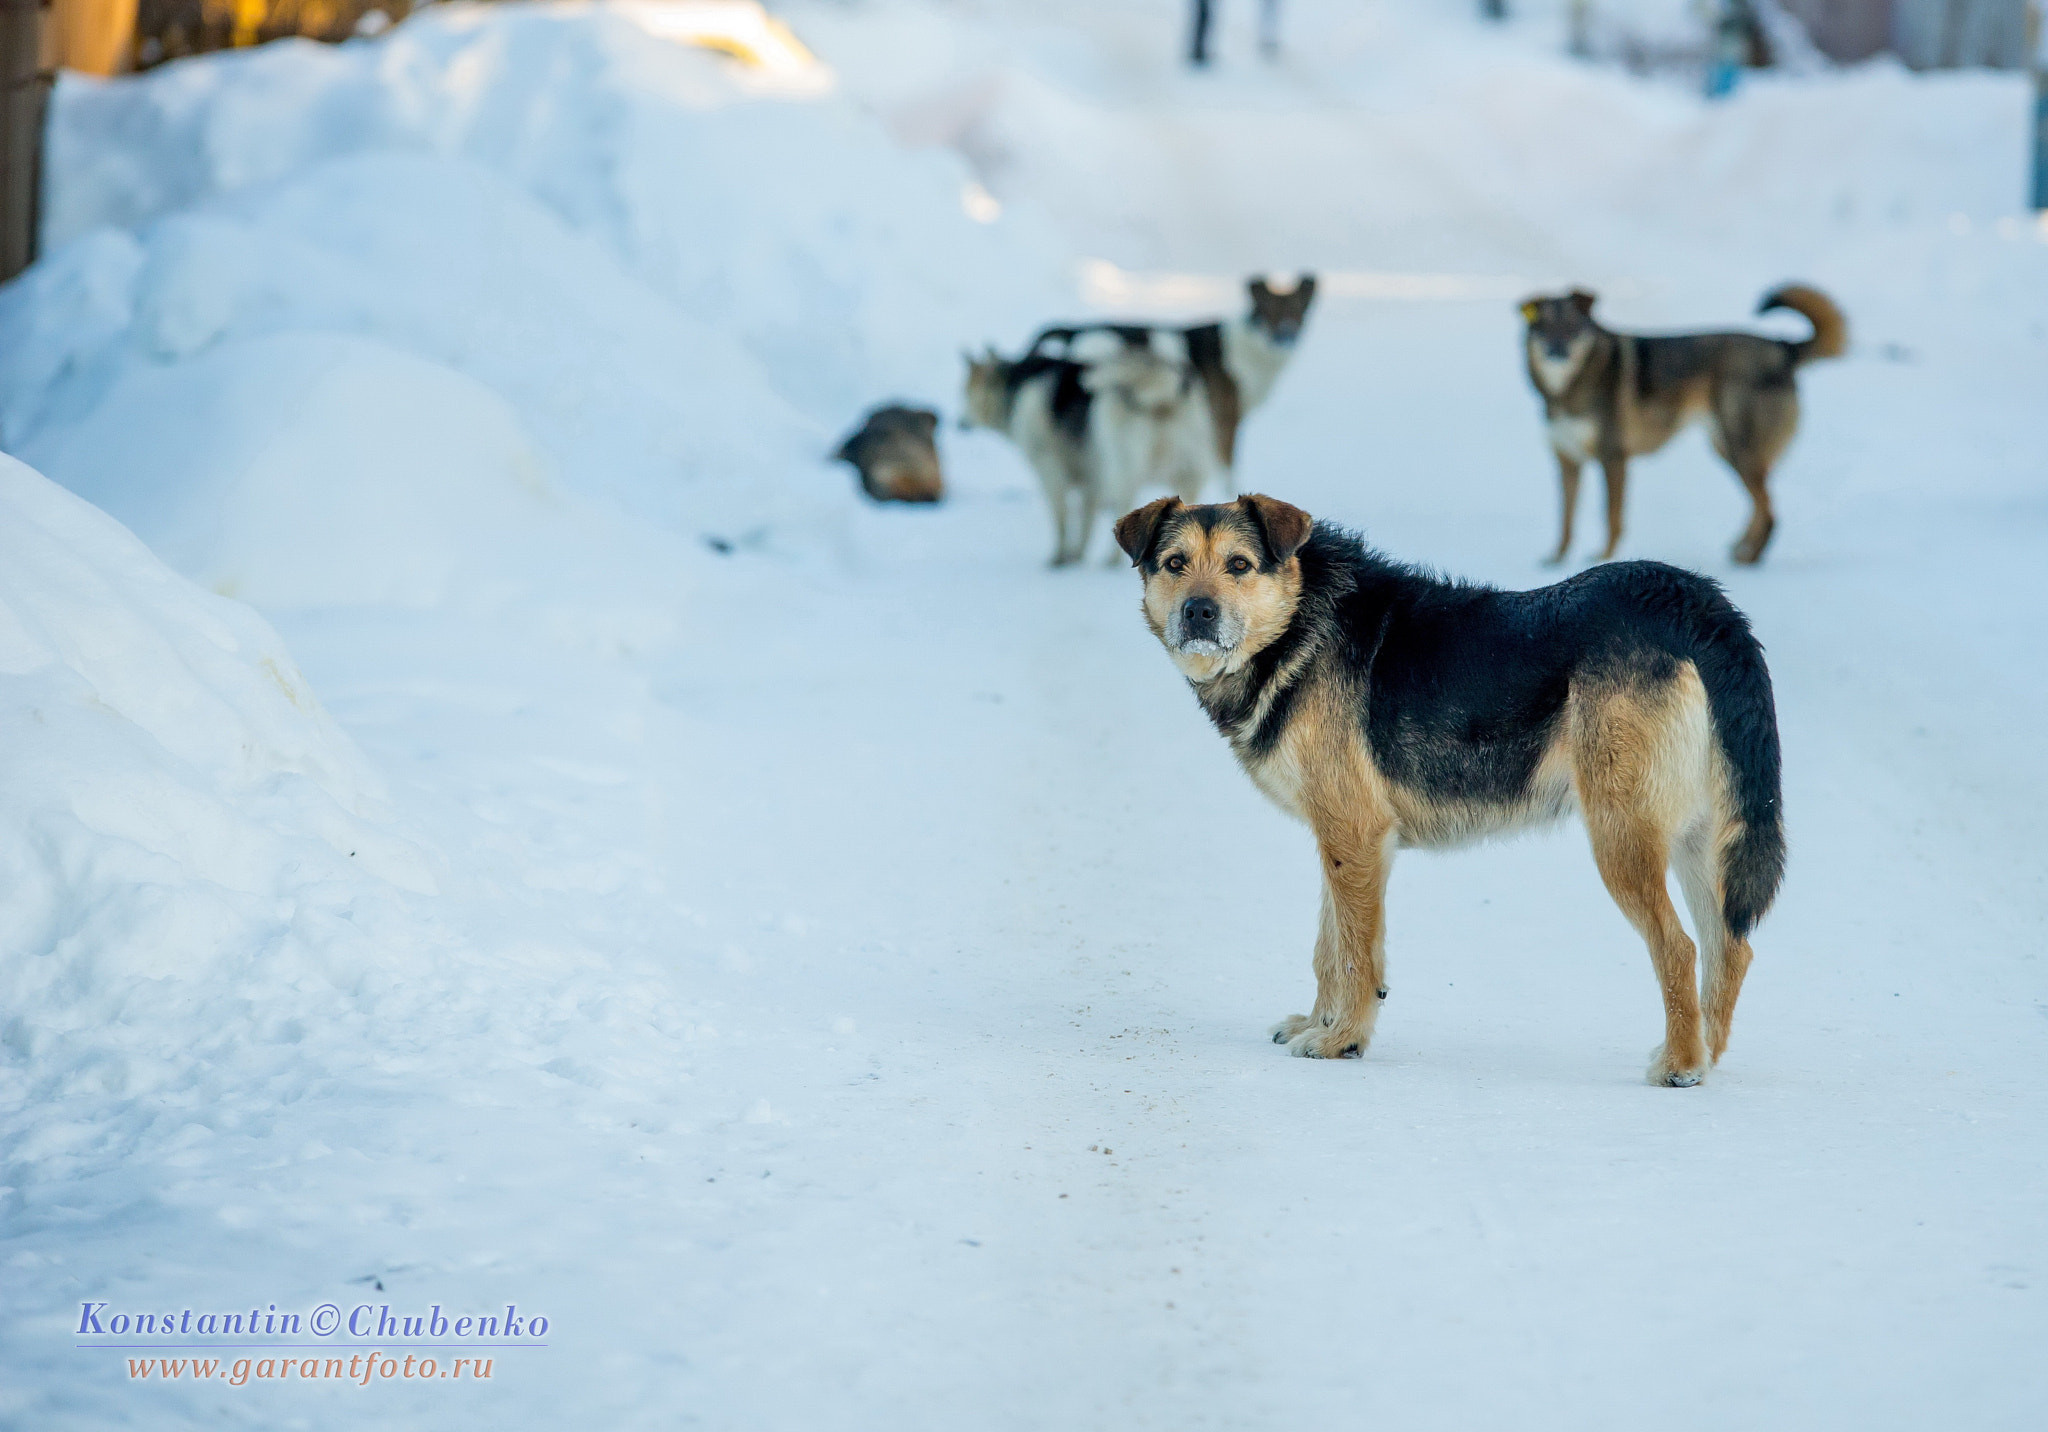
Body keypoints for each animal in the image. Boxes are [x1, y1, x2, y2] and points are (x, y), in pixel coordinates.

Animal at [958, 348, 1212, 565]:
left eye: (966, 391)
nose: (959, 423)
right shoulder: (1091, 480)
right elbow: (1086, 521)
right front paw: (1077, 555)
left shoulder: (1050, 470)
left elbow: (1062, 517)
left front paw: (1060, 557)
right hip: (1186, 470)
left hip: (1122, 470)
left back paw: (1112, 561)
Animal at [1032, 274, 1318, 497]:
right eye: (1269, 310)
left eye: (1298, 309)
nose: (1286, 335)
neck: (1246, 348)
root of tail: (1076, 331)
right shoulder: (1225, 421)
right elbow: (1228, 471)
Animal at [1114, 495, 1785, 1089]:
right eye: (1174, 563)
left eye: (1239, 565)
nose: (1198, 612)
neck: (1299, 625)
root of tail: (1698, 604)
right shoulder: (1343, 842)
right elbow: (1329, 945)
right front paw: (1319, 1025)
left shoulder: (1354, 834)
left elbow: (1354, 954)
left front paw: (1340, 1042)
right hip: (1700, 837)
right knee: (1730, 947)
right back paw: (1704, 1055)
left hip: (1623, 836)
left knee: (1679, 948)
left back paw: (1679, 1067)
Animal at [1531, 284, 1851, 565]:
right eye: (1543, 327)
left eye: (1572, 326)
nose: (1557, 350)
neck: (1566, 388)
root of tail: (1782, 347)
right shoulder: (1567, 461)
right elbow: (1566, 519)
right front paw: (1556, 559)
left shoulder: (1613, 458)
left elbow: (1611, 515)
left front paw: (1604, 557)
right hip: (1726, 449)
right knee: (1759, 504)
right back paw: (1741, 548)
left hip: (1739, 448)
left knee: (1768, 511)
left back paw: (1750, 558)